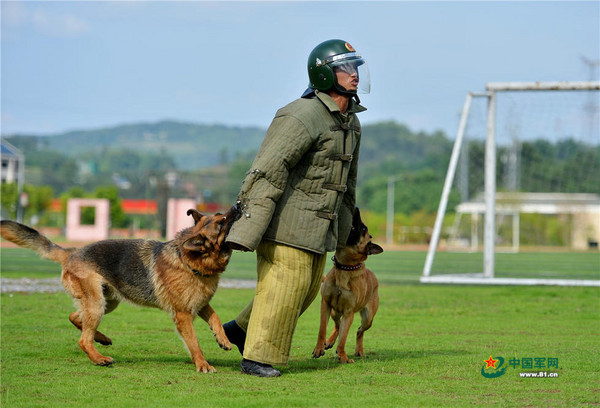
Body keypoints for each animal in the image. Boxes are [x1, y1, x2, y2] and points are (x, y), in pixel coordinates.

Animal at [2, 204, 241, 372]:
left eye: (221, 215)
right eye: (221, 224)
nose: (238, 206)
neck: (188, 260)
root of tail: (72, 252)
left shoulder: (200, 304)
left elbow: (215, 318)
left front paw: (223, 339)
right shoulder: (183, 315)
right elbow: (194, 342)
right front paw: (202, 364)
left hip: (106, 302)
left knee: (76, 317)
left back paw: (101, 338)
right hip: (98, 303)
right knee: (83, 339)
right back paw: (99, 358)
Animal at [312, 209, 382, 364]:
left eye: (363, 229)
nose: (356, 208)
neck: (345, 267)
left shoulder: (348, 312)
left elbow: (343, 338)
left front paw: (343, 356)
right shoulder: (326, 304)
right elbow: (322, 329)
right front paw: (319, 348)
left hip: (368, 318)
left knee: (359, 331)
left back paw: (359, 350)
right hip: (334, 312)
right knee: (337, 326)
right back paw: (329, 341)